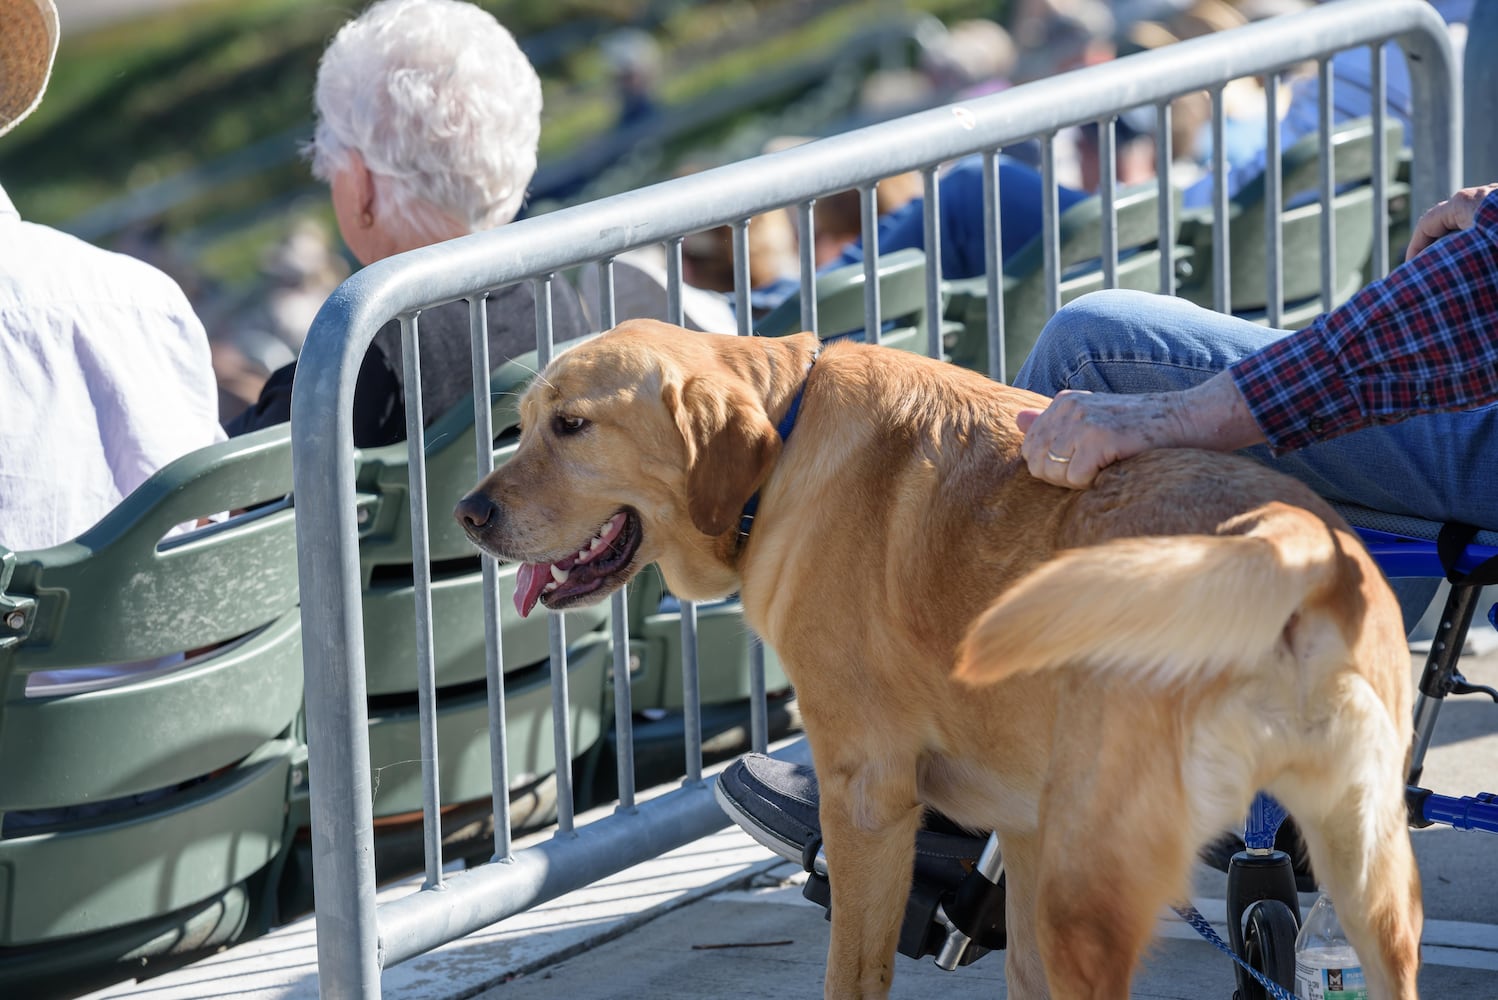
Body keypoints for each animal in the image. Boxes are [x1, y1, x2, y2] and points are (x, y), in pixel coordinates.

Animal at [461, 321, 1420, 999]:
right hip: (1365, 869)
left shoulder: (866, 798)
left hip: (1092, 885)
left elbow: (853, 974)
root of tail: (1289, 541)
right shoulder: (1025, 830)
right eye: (521, 424)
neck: (782, 441)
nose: (469, 513)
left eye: (572, 426)